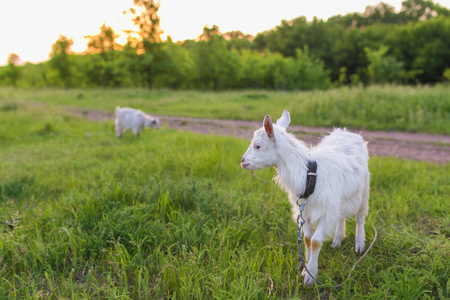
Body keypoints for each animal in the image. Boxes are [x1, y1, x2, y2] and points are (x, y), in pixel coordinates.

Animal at [241, 109, 370, 284]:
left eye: (257, 146)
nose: (242, 161)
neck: (308, 174)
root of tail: (348, 132)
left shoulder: (325, 211)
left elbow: (315, 241)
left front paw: (311, 275)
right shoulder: (306, 210)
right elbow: (307, 239)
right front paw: (305, 267)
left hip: (363, 189)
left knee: (360, 216)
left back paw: (359, 245)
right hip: (340, 198)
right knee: (341, 215)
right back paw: (337, 240)